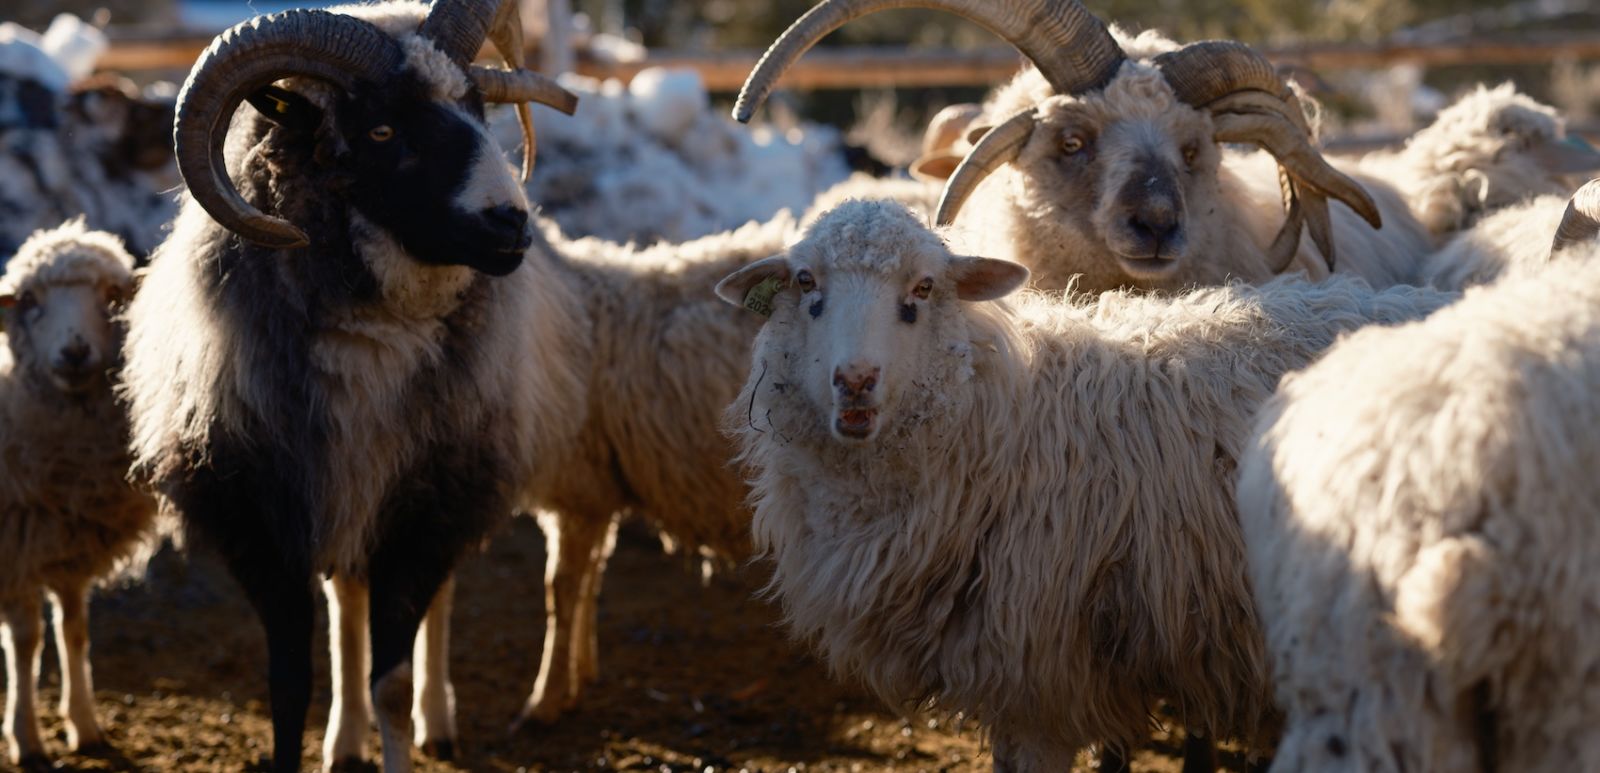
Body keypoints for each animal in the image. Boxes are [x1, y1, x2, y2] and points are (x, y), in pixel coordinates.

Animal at [0, 219, 156, 768]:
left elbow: (75, 629)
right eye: (29, 299)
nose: (73, 352)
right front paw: (26, 739)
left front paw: (85, 726)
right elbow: (26, 640)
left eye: (112, 295)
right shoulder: (15, 546)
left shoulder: (70, 544)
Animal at [116, 3, 588, 771]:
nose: (510, 223)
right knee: (346, 600)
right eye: (382, 131)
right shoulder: (261, 521)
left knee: (433, 603)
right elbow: (289, 681)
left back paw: (437, 720)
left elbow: (391, 678)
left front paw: (406, 720)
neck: (369, 341)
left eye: (478, 112)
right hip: (342, 497)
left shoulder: (424, 515)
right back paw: (343, 740)